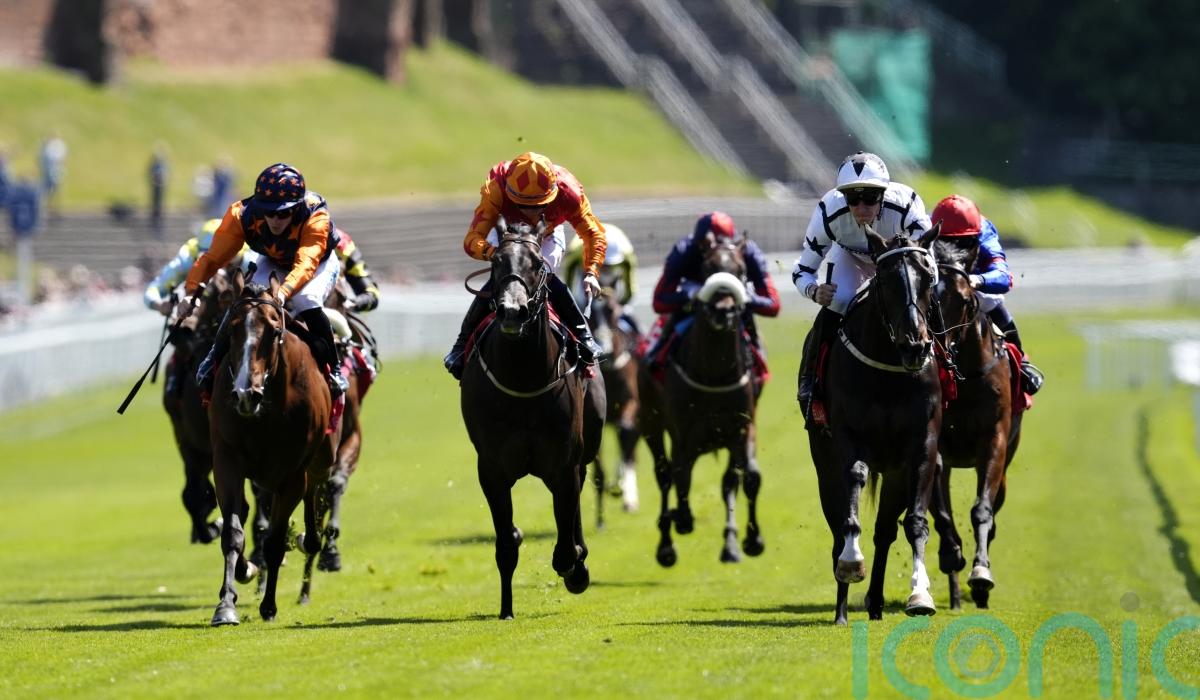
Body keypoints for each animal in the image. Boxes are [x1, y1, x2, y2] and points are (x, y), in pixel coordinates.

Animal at [208, 274, 340, 626]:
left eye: (274, 331)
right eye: (231, 329)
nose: (245, 394)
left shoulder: (291, 474)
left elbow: (276, 541)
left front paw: (268, 606)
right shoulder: (227, 460)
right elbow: (233, 533)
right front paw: (226, 604)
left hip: (322, 454)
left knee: (315, 490)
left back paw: (310, 539)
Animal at [459, 221, 604, 619]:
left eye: (538, 264)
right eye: (496, 262)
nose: (512, 311)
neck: (524, 377)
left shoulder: (564, 465)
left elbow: (566, 550)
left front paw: (577, 569)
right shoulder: (491, 469)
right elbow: (506, 543)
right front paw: (506, 609)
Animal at [638, 237, 764, 567]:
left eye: (741, 270)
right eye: (708, 268)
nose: (724, 311)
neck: (714, 375)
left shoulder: (741, 430)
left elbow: (744, 479)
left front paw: (748, 541)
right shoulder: (684, 438)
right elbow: (680, 478)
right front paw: (680, 520)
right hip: (650, 423)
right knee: (664, 474)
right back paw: (666, 545)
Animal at [805, 226, 943, 625]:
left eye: (928, 277)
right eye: (887, 280)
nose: (915, 346)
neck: (889, 371)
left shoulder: (921, 445)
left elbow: (914, 522)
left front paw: (920, 594)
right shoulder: (849, 437)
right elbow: (854, 483)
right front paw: (851, 562)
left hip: (894, 471)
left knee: (884, 532)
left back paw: (877, 604)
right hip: (824, 465)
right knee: (837, 526)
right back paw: (841, 609)